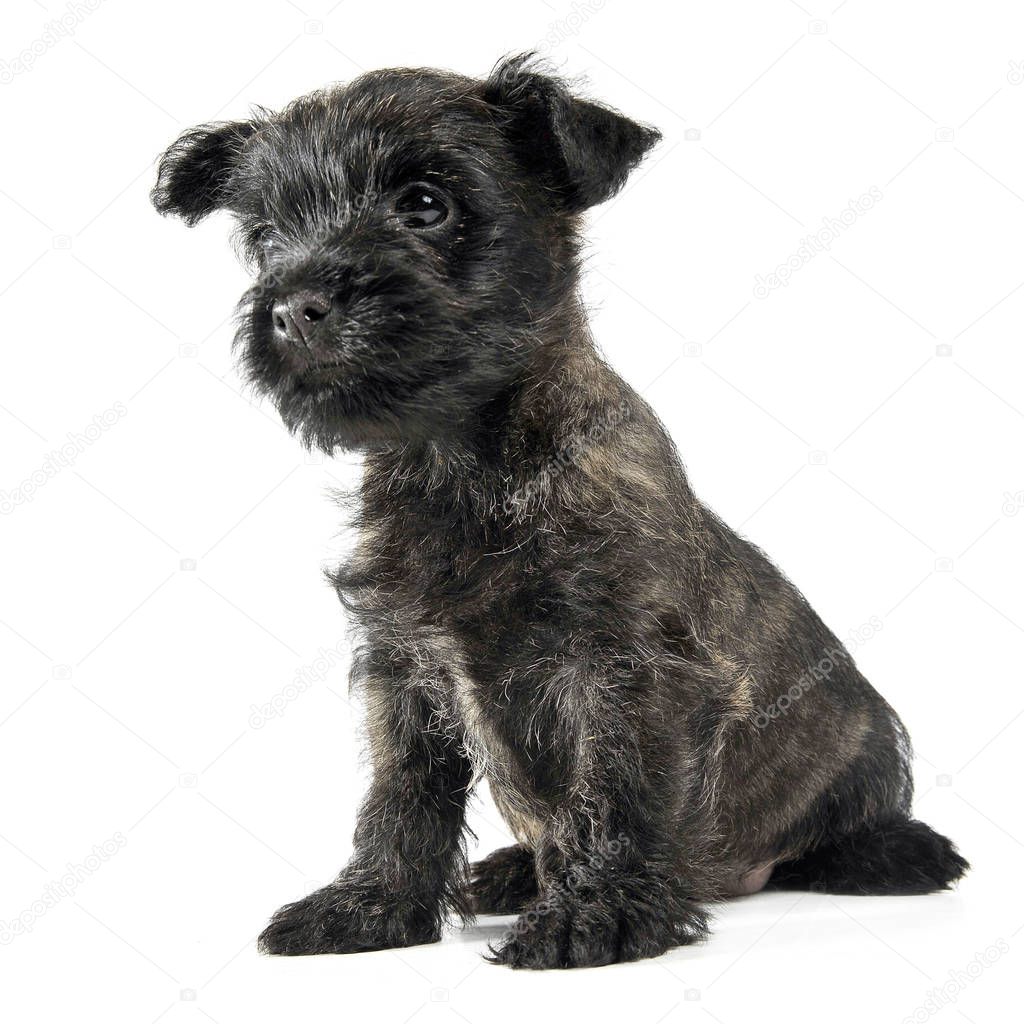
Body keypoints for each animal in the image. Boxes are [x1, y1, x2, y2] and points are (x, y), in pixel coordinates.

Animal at [151, 56, 966, 966]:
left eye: (425, 204)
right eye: (264, 238)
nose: (295, 306)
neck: (457, 464)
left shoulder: (626, 667)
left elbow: (613, 789)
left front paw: (597, 912)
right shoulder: (406, 670)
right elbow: (403, 793)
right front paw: (373, 906)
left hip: (866, 750)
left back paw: (892, 852)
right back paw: (515, 872)